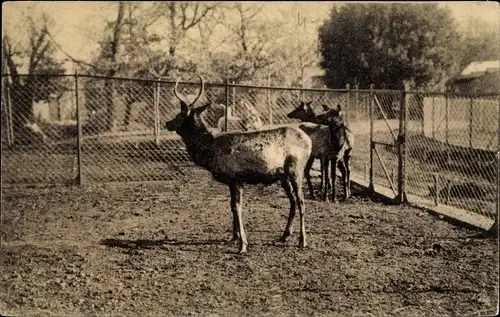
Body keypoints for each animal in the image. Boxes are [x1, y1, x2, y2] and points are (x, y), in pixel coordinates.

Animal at [164, 75, 312, 253]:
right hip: (283, 175)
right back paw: (285, 235)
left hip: (296, 168)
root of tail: (308, 140)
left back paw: (302, 240)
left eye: (179, 116)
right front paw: (233, 237)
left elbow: (237, 207)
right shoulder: (230, 181)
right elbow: (231, 206)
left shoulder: (236, 178)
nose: (167, 123)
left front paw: (243, 244)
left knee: (301, 201)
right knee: (292, 201)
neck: (210, 150)